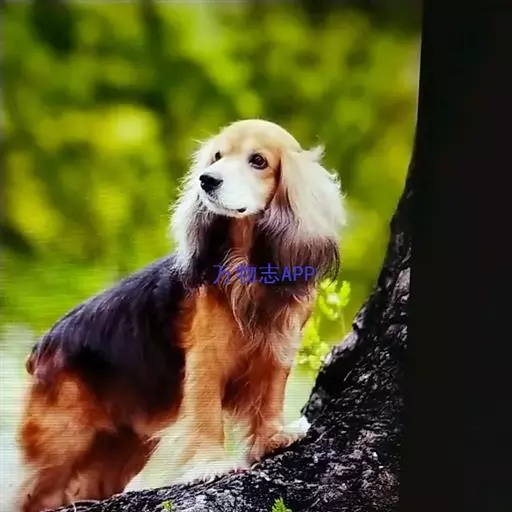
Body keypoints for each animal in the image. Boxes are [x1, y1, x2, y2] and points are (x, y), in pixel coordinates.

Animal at [13, 119, 346, 511]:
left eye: (259, 161)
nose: (207, 180)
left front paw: (273, 438)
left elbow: (270, 398)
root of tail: (40, 349)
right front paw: (210, 464)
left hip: (117, 449)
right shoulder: (205, 361)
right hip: (61, 440)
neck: (247, 260)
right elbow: (207, 415)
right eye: (217, 156)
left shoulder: (278, 350)